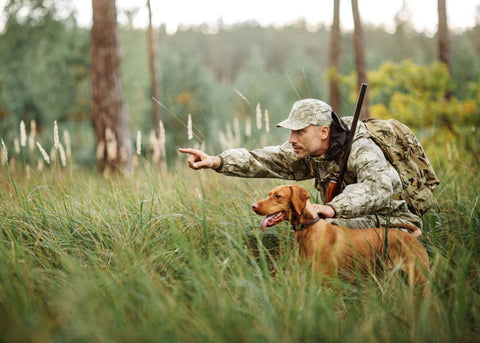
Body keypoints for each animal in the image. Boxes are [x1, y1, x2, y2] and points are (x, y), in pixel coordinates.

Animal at [253, 185, 430, 284]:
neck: (310, 228)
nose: (253, 206)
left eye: (278, 196)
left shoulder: (329, 280)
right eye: (269, 194)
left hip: (419, 277)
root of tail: (411, 237)